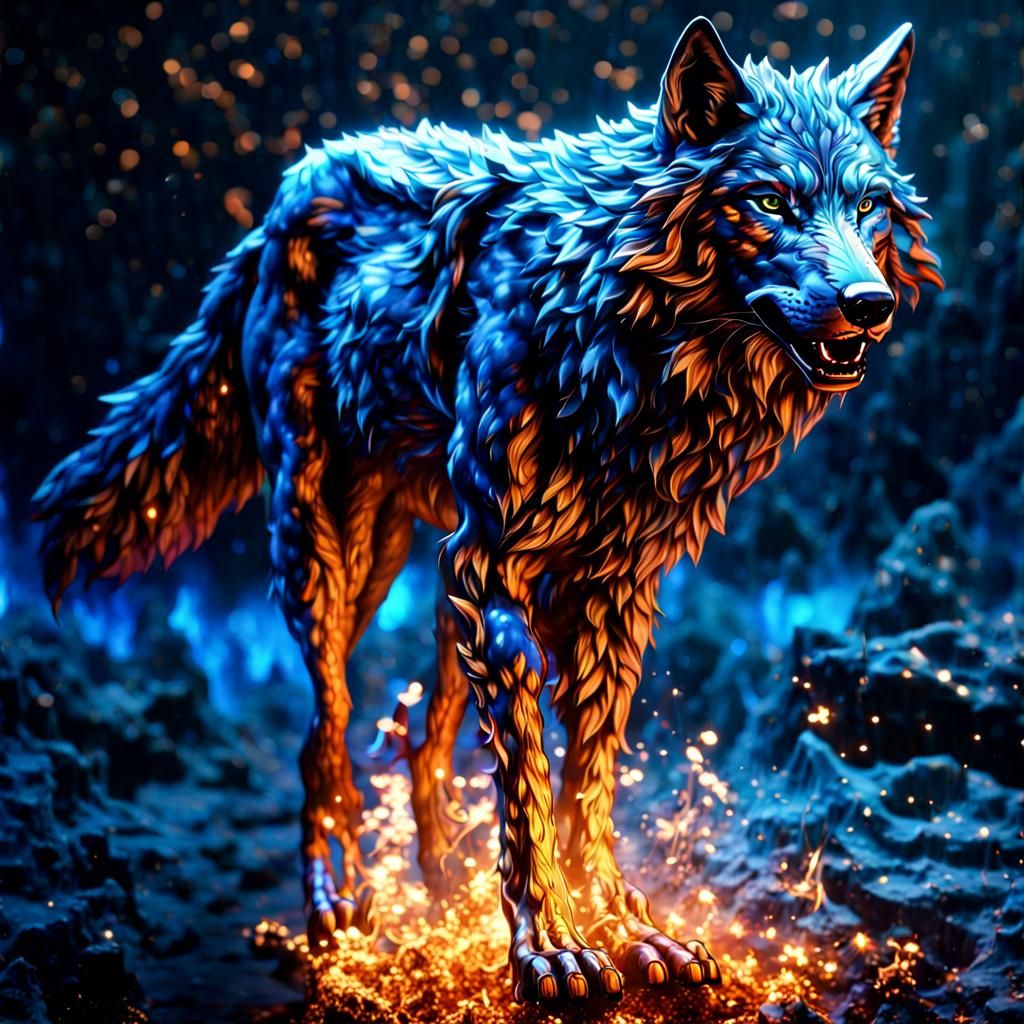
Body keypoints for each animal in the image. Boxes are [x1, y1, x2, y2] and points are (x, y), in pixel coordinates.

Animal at [34, 17, 941, 1004]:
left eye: (869, 208)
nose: (870, 304)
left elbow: (587, 782)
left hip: (419, 563)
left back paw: (440, 891)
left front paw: (625, 927)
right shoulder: (497, 571)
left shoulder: (613, 591)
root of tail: (290, 187)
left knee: (421, 737)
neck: (627, 351)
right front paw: (550, 945)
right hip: (330, 554)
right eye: (772, 201)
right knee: (327, 730)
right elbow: (528, 783)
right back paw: (335, 900)